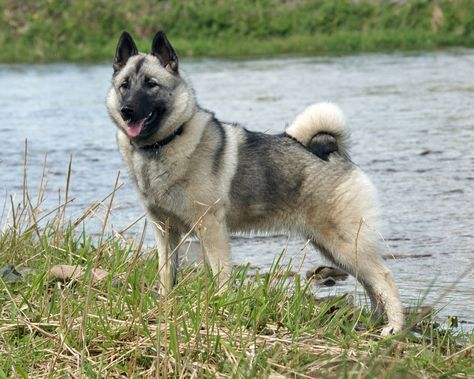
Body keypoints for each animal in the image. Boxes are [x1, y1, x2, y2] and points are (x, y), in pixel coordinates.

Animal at [105, 31, 402, 336]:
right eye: (124, 86)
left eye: (151, 84)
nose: (127, 110)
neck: (163, 144)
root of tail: (333, 151)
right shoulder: (164, 230)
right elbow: (166, 274)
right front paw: (165, 306)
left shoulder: (211, 227)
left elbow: (221, 274)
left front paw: (220, 308)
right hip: (332, 247)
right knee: (370, 284)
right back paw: (373, 322)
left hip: (344, 242)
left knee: (383, 277)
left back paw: (394, 327)